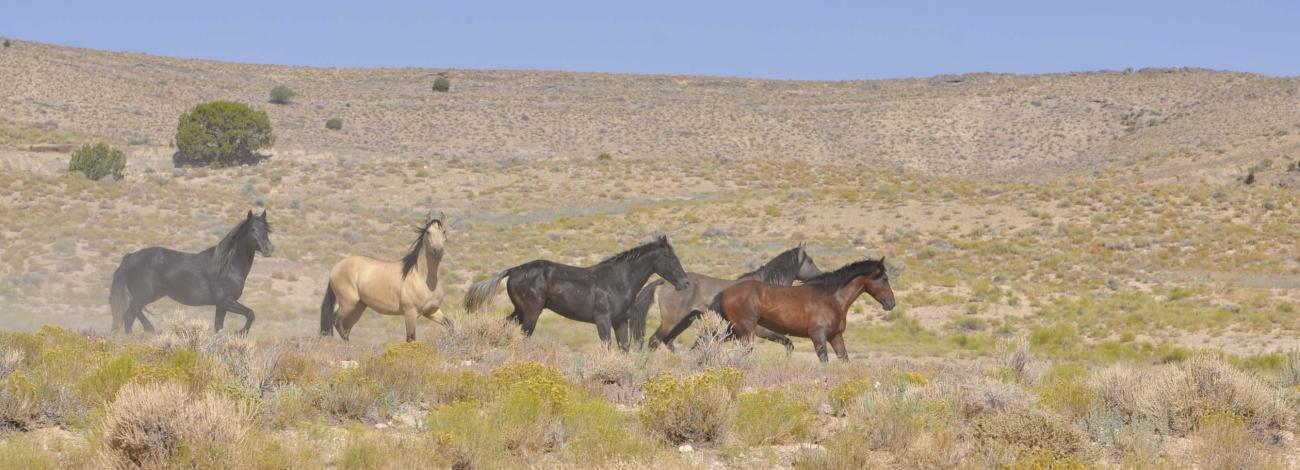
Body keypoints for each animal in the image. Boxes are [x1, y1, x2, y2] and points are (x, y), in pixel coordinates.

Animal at [109, 209, 274, 334]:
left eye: (266, 230)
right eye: (253, 229)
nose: (269, 249)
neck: (228, 266)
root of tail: (130, 257)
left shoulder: (221, 306)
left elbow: (218, 328)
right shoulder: (226, 301)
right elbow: (250, 313)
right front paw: (240, 333)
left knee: (129, 317)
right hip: (144, 295)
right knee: (132, 313)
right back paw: (150, 329)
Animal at [321, 212, 452, 342]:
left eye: (444, 231)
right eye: (428, 232)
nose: (438, 250)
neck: (422, 278)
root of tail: (336, 267)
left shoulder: (432, 310)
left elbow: (449, 325)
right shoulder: (410, 312)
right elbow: (411, 338)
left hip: (359, 306)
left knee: (346, 328)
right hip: (348, 304)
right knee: (336, 322)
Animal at [465, 233, 696, 347]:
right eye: (670, 257)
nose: (685, 283)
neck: (618, 281)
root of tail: (513, 270)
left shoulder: (620, 322)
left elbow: (623, 348)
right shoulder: (603, 320)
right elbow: (606, 345)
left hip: (520, 311)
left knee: (505, 325)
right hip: (531, 312)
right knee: (524, 335)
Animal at [629, 244, 821, 350]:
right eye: (810, 261)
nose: (820, 275)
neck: (765, 287)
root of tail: (666, 282)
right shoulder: (761, 331)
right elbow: (787, 344)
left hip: (684, 321)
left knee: (668, 342)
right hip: (671, 321)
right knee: (655, 341)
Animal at [712, 257, 894, 363]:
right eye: (884, 278)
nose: (891, 303)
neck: (831, 298)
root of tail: (724, 292)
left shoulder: (835, 337)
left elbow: (845, 359)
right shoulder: (818, 336)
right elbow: (824, 360)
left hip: (732, 330)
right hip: (745, 332)